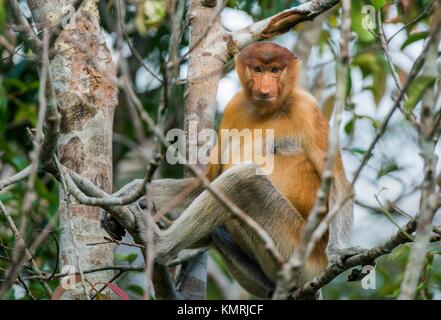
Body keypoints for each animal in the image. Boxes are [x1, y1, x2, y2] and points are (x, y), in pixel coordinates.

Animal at [101, 42, 362, 298]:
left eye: (275, 70)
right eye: (257, 69)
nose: (265, 88)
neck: (268, 109)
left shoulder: (308, 109)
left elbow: (338, 183)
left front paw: (339, 252)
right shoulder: (235, 106)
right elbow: (206, 182)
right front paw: (128, 192)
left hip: (299, 251)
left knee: (244, 180)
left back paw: (158, 242)